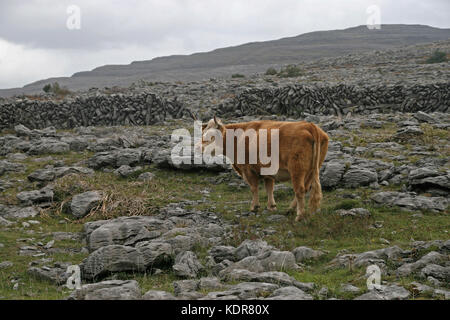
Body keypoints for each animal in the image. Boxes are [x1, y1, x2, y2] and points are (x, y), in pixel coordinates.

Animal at [196, 117, 326, 222]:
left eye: (211, 136)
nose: (197, 147)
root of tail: (309, 125)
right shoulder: (267, 172)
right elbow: (269, 188)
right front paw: (271, 206)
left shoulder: (248, 170)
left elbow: (254, 188)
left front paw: (254, 207)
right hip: (311, 170)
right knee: (306, 189)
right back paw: (290, 210)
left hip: (297, 169)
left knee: (299, 190)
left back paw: (299, 216)